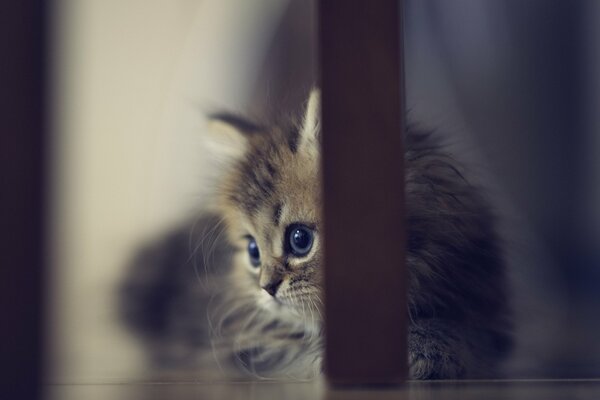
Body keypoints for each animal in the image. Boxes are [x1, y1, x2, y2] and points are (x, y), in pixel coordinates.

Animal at [120, 89, 510, 380]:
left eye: (300, 239)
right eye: (253, 252)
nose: (266, 288)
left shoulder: (488, 311)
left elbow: (466, 334)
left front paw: (427, 347)